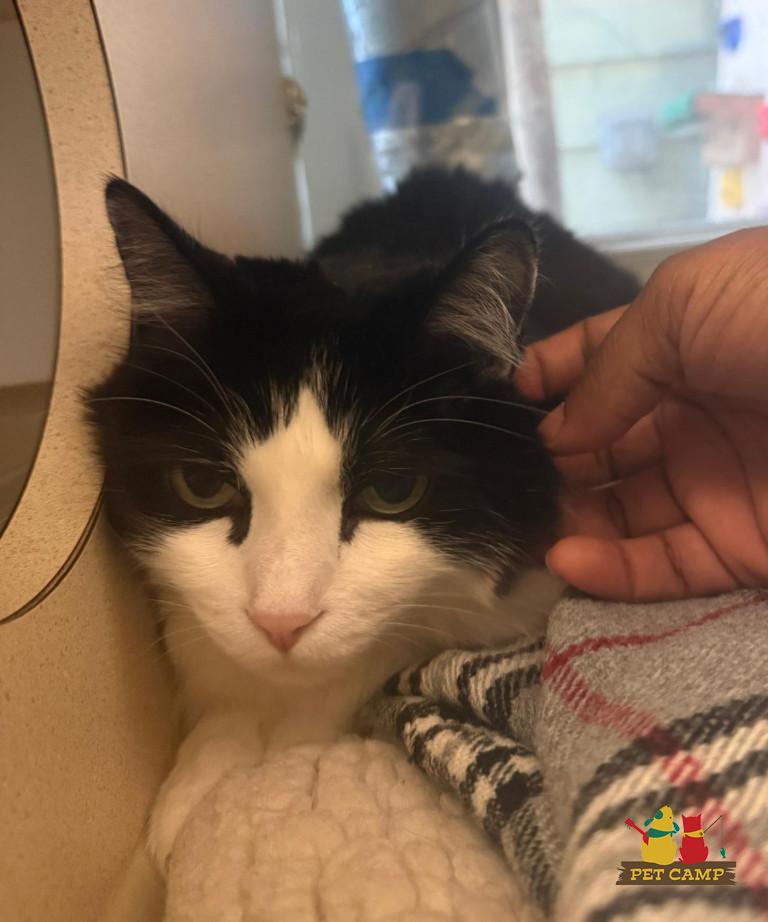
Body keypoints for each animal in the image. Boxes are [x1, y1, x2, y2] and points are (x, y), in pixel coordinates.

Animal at [87, 167, 639, 870]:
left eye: (393, 491)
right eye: (204, 485)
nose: (281, 621)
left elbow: (388, 646)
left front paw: (280, 739)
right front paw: (207, 763)